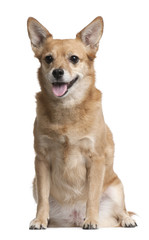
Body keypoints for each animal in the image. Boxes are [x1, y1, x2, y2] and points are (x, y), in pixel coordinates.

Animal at [27, 15, 137, 230]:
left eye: (74, 59)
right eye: (48, 58)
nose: (57, 72)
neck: (67, 109)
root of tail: (74, 218)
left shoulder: (95, 159)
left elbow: (92, 195)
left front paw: (92, 220)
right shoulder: (41, 160)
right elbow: (43, 199)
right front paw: (40, 220)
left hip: (117, 187)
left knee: (122, 210)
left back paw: (126, 219)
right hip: (35, 183)